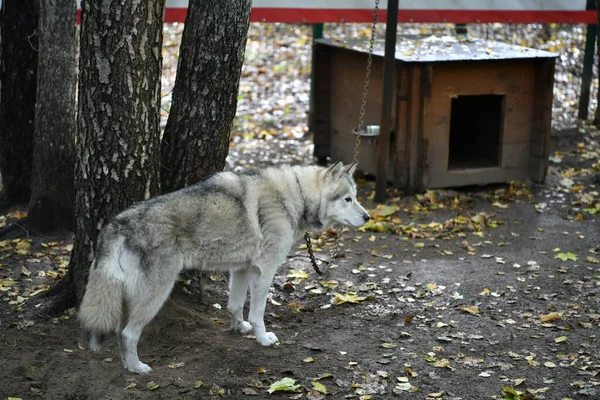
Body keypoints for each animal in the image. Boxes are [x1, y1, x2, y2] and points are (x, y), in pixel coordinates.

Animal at [79, 161, 370, 374]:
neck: (295, 195)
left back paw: (127, 365)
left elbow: (234, 305)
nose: (368, 217)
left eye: (356, 197)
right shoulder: (264, 271)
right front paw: (263, 339)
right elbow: (258, 313)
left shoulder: (242, 269)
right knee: (128, 333)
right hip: (155, 295)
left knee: (120, 331)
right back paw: (137, 368)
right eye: (347, 199)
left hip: (132, 298)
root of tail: (116, 223)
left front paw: (240, 328)